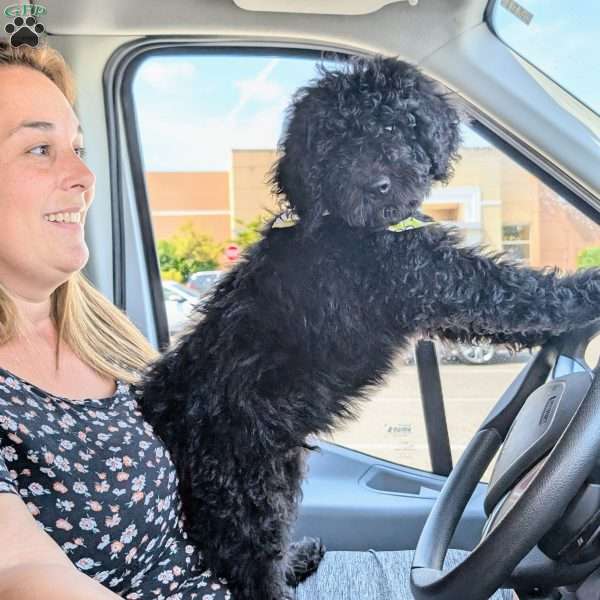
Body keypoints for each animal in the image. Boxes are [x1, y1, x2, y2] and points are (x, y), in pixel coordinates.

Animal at [138, 56, 600, 600]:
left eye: (391, 126)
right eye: (332, 145)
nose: (375, 185)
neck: (358, 227)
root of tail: (162, 411)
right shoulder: (432, 277)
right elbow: (514, 293)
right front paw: (588, 290)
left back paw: (299, 558)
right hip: (244, 496)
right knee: (252, 571)